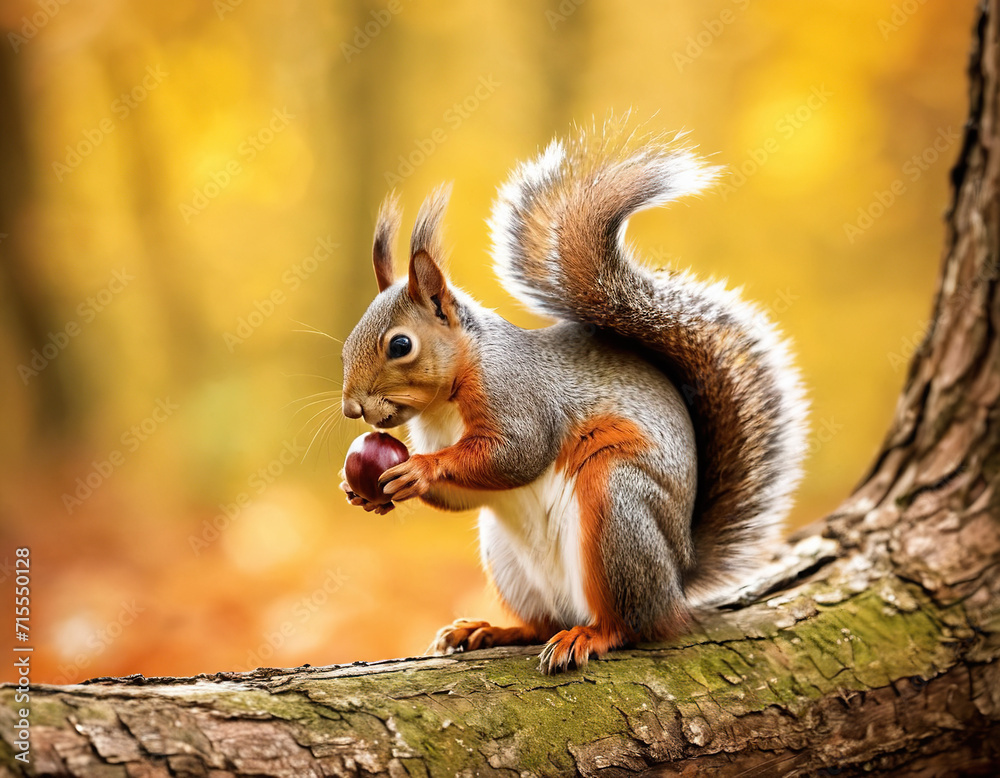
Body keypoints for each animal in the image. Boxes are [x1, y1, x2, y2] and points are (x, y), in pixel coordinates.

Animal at [340, 119, 809, 674]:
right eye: (346, 343)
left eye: (400, 345)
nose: (352, 408)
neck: (445, 402)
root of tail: (678, 580)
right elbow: (468, 493)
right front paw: (363, 492)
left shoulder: (519, 396)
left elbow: (516, 453)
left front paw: (420, 469)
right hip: (510, 560)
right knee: (542, 621)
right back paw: (491, 630)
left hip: (617, 509)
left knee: (631, 625)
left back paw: (589, 636)